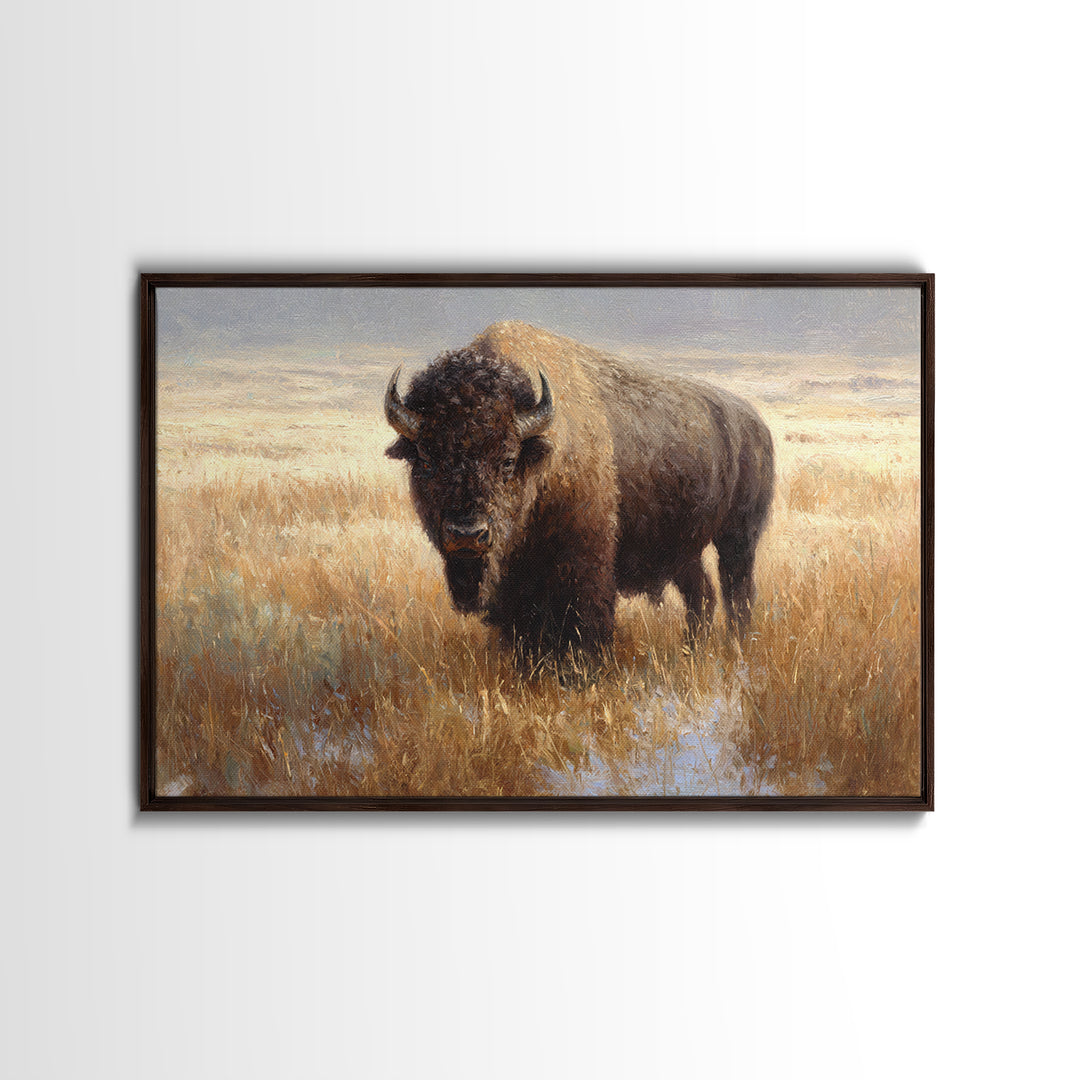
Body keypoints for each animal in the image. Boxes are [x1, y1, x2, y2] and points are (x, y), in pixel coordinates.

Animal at [385, 321, 774, 659]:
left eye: (508, 460)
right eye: (426, 460)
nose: (467, 534)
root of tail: (755, 423)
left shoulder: (584, 558)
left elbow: (584, 620)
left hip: (738, 538)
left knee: (737, 592)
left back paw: (737, 647)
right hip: (683, 549)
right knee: (702, 595)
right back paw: (691, 652)